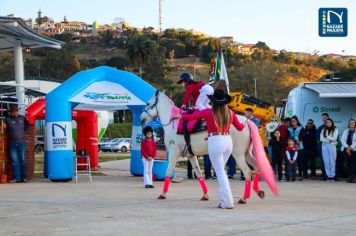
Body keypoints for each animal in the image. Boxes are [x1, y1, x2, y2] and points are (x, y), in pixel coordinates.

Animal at [140, 90, 278, 203]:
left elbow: (168, 173)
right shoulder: (191, 155)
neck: (174, 122)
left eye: (148, 103)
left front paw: (163, 194)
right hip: (247, 153)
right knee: (257, 167)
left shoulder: (174, 153)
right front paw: (205, 195)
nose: (141, 119)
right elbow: (199, 174)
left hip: (238, 155)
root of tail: (246, 122)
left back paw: (244, 198)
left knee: (248, 172)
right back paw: (258, 191)